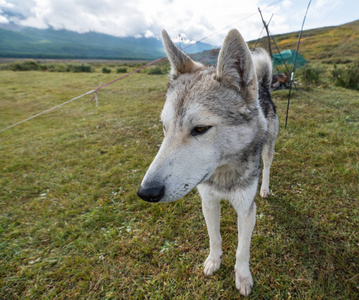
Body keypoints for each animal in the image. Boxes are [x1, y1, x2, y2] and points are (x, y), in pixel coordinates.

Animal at [136, 29, 280, 296]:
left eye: (201, 129)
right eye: (164, 127)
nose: (146, 193)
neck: (222, 174)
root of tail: (263, 88)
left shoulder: (247, 209)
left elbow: (242, 251)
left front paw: (242, 278)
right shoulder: (209, 202)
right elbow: (215, 237)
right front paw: (214, 261)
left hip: (269, 148)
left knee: (266, 167)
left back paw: (265, 188)